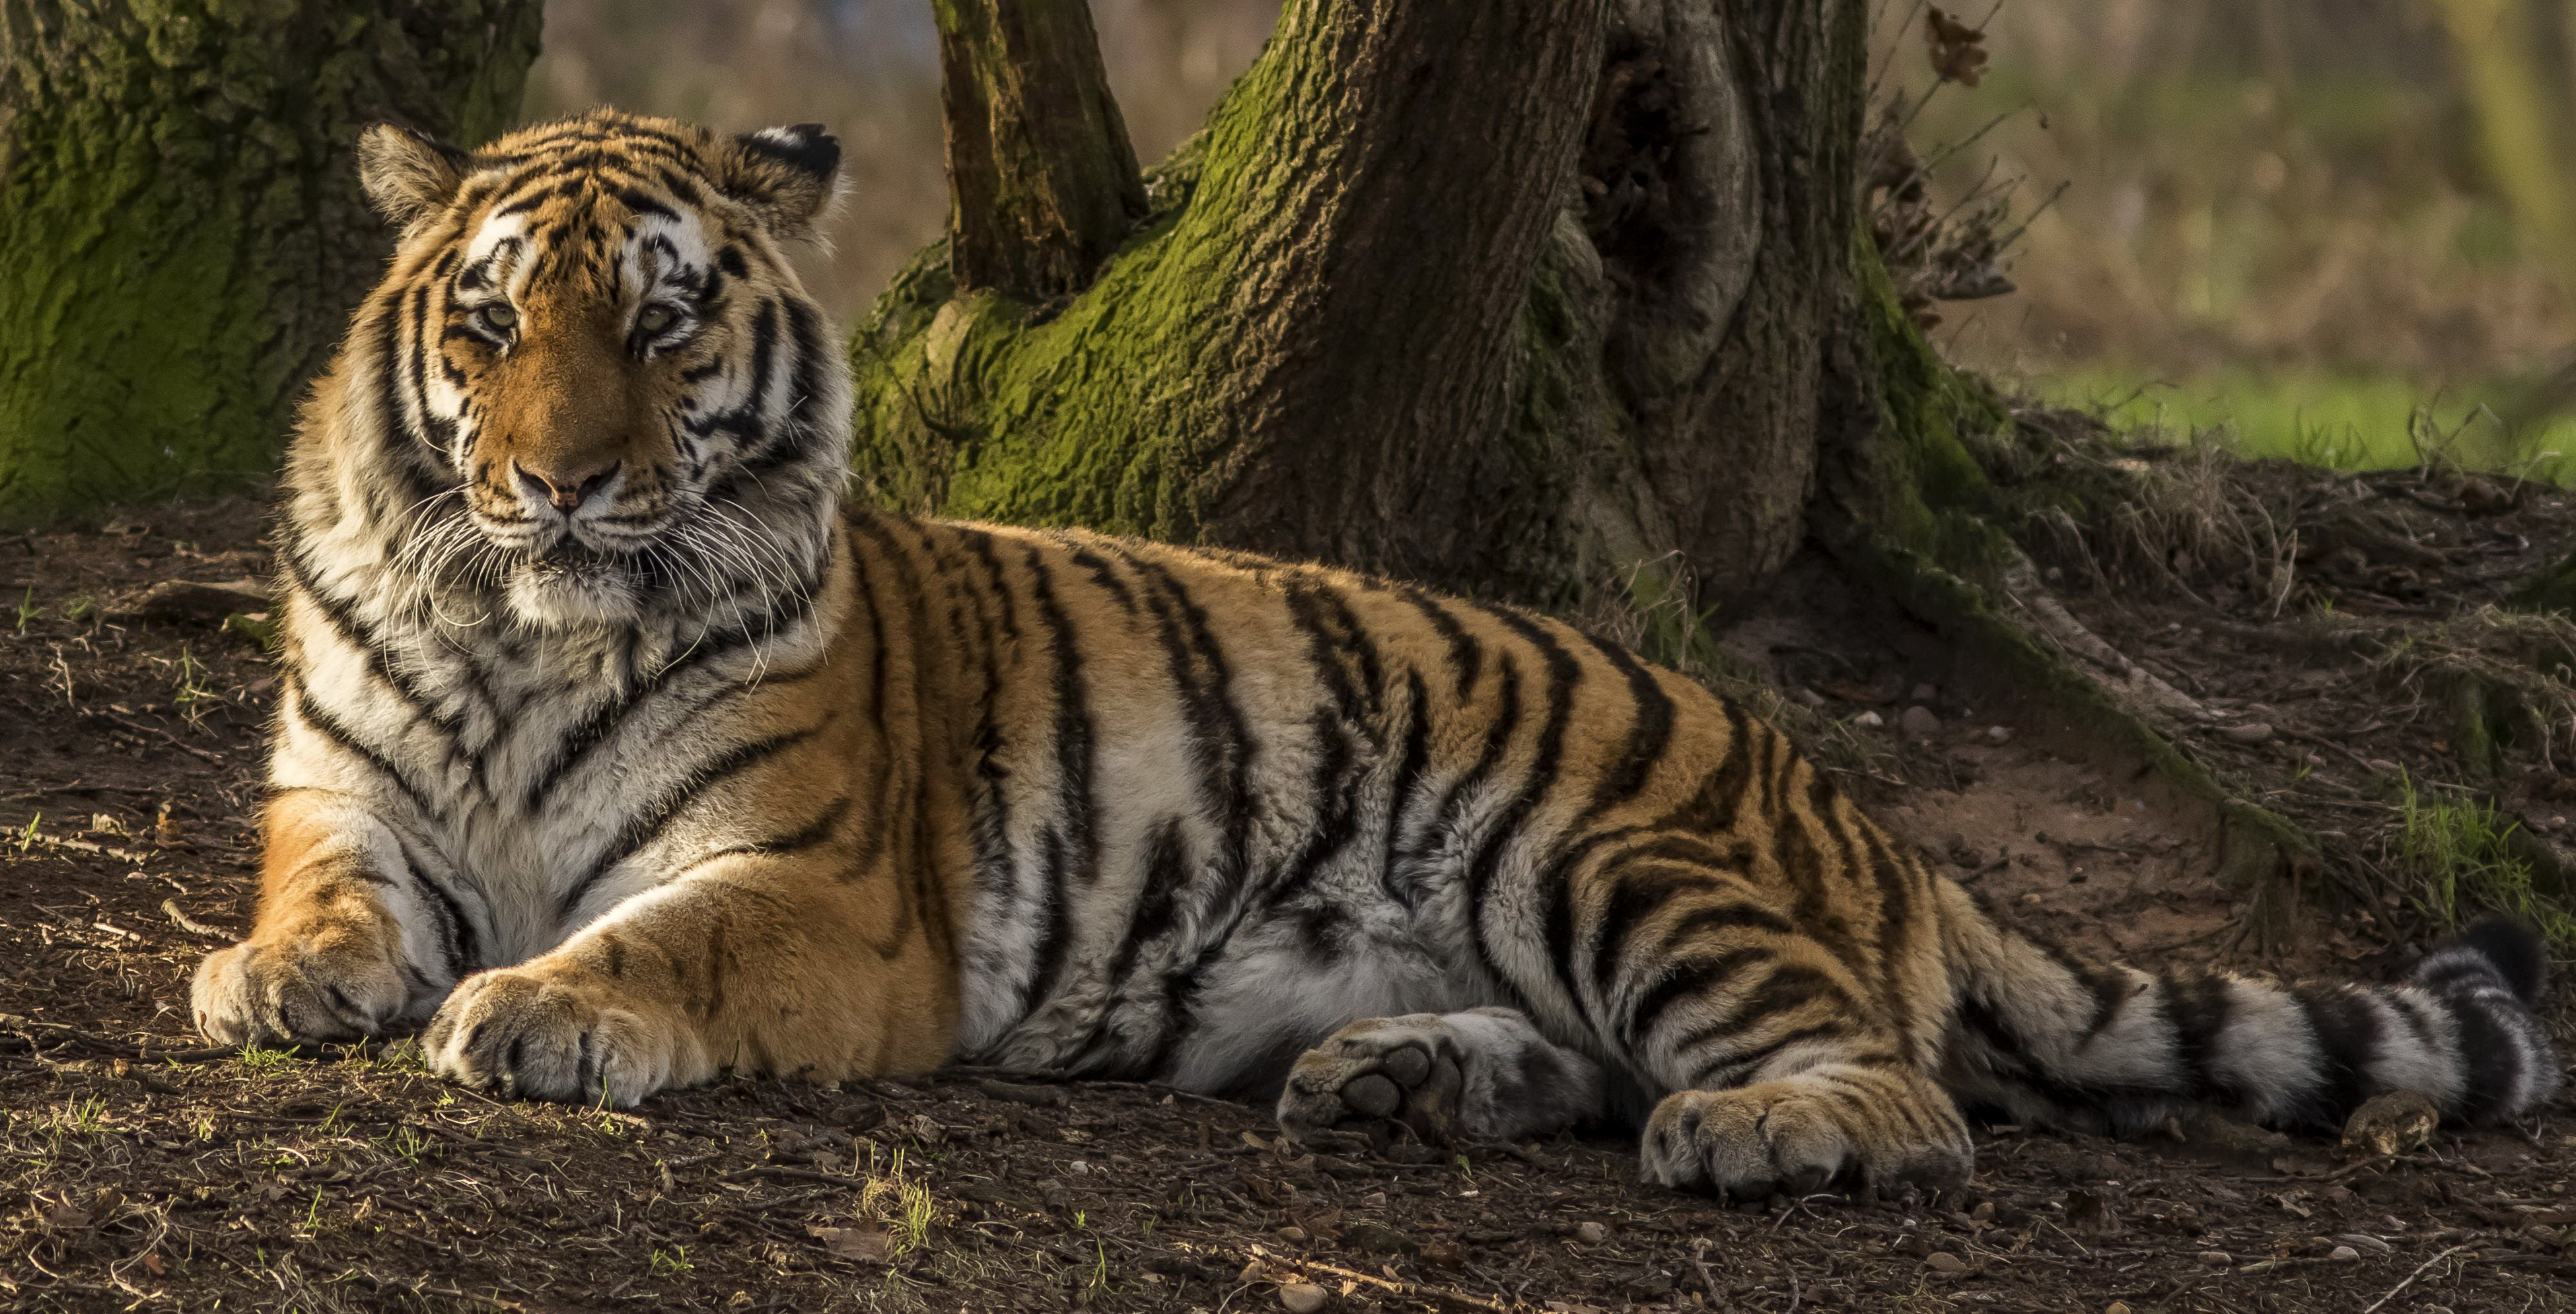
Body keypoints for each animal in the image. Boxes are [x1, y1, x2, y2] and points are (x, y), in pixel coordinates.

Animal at [196, 110, 2555, 1200]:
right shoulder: (339, 783)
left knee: (1888, 1089)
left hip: (1616, 861)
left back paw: (1763, 1135)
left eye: (665, 324)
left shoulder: (824, 888)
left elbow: (649, 942)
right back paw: (1397, 1078)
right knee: (1596, 1061)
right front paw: (277, 977)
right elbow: (318, 890)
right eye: (493, 322)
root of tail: (1851, 804)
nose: (563, 483)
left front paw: (530, 1010)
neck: (527, 636)